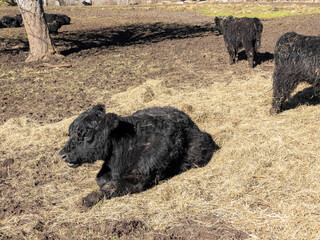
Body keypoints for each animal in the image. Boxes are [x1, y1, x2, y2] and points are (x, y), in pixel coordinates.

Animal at [59, 105, 220, 208]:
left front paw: (86, 201)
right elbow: (102, 180)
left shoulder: (140, 176)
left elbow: (112, 185)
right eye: (70, 132)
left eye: (87, 134)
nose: (62, 154)